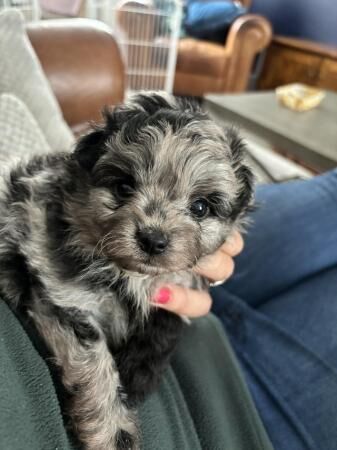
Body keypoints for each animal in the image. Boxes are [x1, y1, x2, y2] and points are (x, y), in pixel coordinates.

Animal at [0, 93, 252, 448]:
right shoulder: (65, 298)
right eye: (123, 187)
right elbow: (95, 363)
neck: (128, 273)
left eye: (201, 207)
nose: (153, 239)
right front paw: (112, 430)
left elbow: (164, 323)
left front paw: (136, 374)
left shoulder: (177, 289)